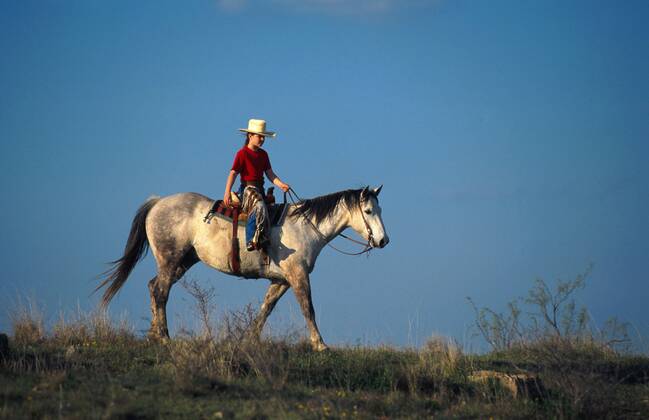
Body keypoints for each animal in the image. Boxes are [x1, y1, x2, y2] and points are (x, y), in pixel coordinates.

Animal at [97, 186, 389, 351]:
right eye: (368, 211)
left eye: (380, 209)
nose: (383, 240)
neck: (305, 227)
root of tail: (158, 202)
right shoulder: (298, 276)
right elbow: (308, 308)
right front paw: (320, 344)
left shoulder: (281, 281)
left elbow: (265, 309)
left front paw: (248, 339)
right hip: (170, 259)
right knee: (161, 292)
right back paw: (164, 337)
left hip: (183, 262)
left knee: (153, 286)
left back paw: (154, 335)